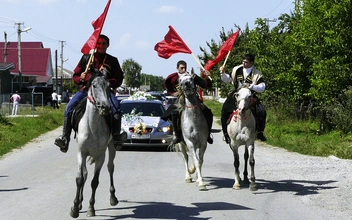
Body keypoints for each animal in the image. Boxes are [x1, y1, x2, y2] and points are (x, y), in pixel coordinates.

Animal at [69, 69, 119, 218]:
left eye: (108, 86)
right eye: (94, 85)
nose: (105, 107)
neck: (92, 127)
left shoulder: (100, 156)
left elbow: (94, 182)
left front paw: (91, 208)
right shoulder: (81, 152)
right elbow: (80, 178)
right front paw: (75, 207)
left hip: (112, 148)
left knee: (110, 167)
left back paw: (113, 197)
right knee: (85, 174)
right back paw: (80, 202)